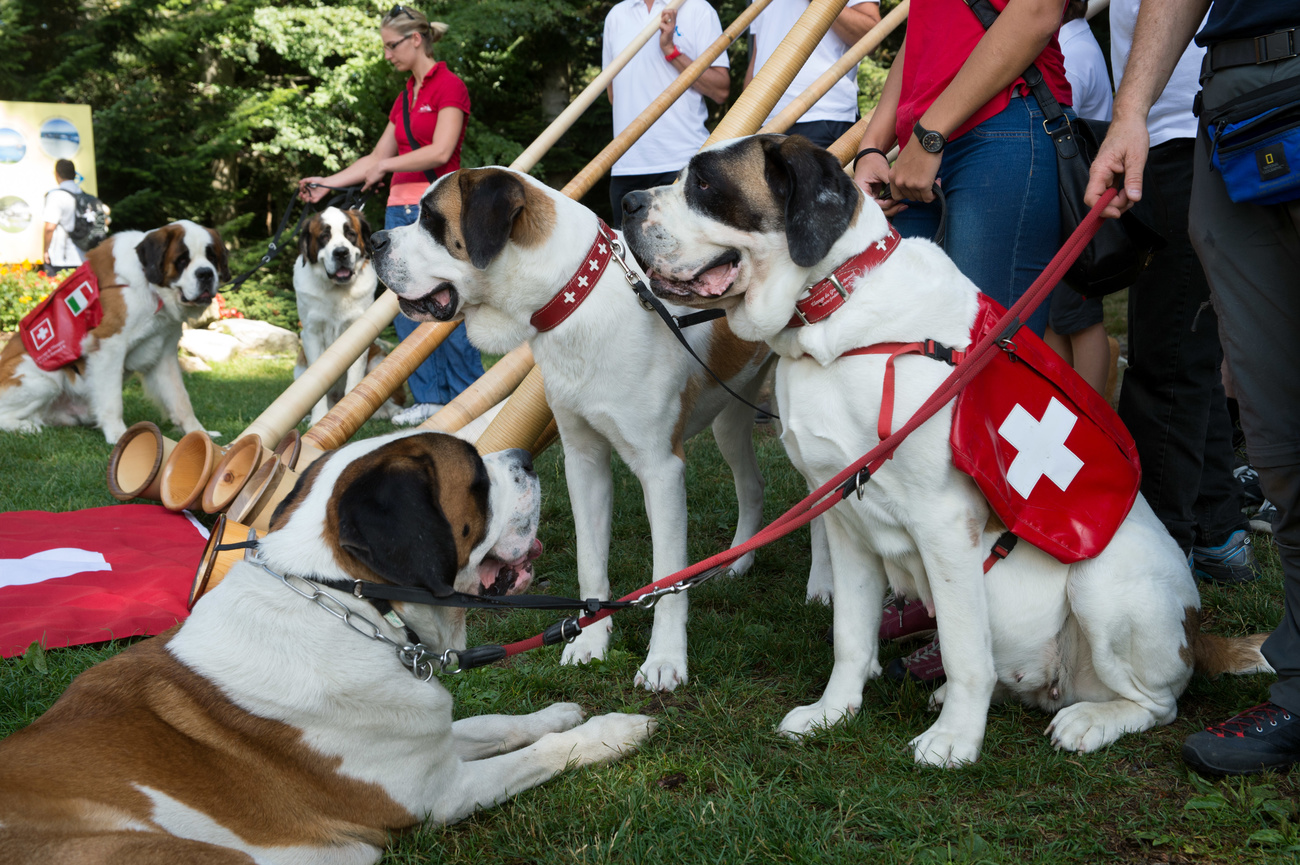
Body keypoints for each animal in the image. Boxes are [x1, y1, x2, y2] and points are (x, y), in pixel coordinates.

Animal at [0, 219, 227, 442]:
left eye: (212, 257)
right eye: (182, 260)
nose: (206, 273)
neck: (150, 287)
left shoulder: (165, 353)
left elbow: (180, 398)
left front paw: (200, 433)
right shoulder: (109, 346)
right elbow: (112, 399)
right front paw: (120, 435)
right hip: (46, 376)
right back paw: (27, 427)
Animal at [0, 429, 655, 858]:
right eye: (475, 476)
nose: (524, 458)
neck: (352, 605)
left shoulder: (426, 743)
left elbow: (495, 724)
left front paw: (558, 712)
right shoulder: (440, 792)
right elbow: (538, 756)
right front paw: (614, 731)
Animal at [292, 209, 403, 424]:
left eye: (350, 233)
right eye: (324, 236)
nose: (341, 252)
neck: (336, 290)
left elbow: (355, 376)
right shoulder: (311, 334)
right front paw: (318, 419)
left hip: (378, 358)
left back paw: (391, 413)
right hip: (300, 368)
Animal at [361, 165, 816, 692]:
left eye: (433, 220)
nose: (373, 240)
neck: (573, 297)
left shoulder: (661, 470)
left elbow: (667, 578)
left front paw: (665, 660)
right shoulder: (583, 461)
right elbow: (590, 562)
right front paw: (589, 642)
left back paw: (821, 587)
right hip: (729, 418)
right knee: (752, 485)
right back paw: (738, 562)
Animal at [618, 133, 1268, 764]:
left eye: (705, 184)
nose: (626, 202)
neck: (834, 314)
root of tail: (1199, 633)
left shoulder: (944, 522)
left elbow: (962, 648)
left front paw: (956, 740)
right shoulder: (844, 517)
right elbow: (850, 633)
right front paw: (833, 711)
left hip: (1103, 583)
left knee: (1158, 704)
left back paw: (1089, 720)